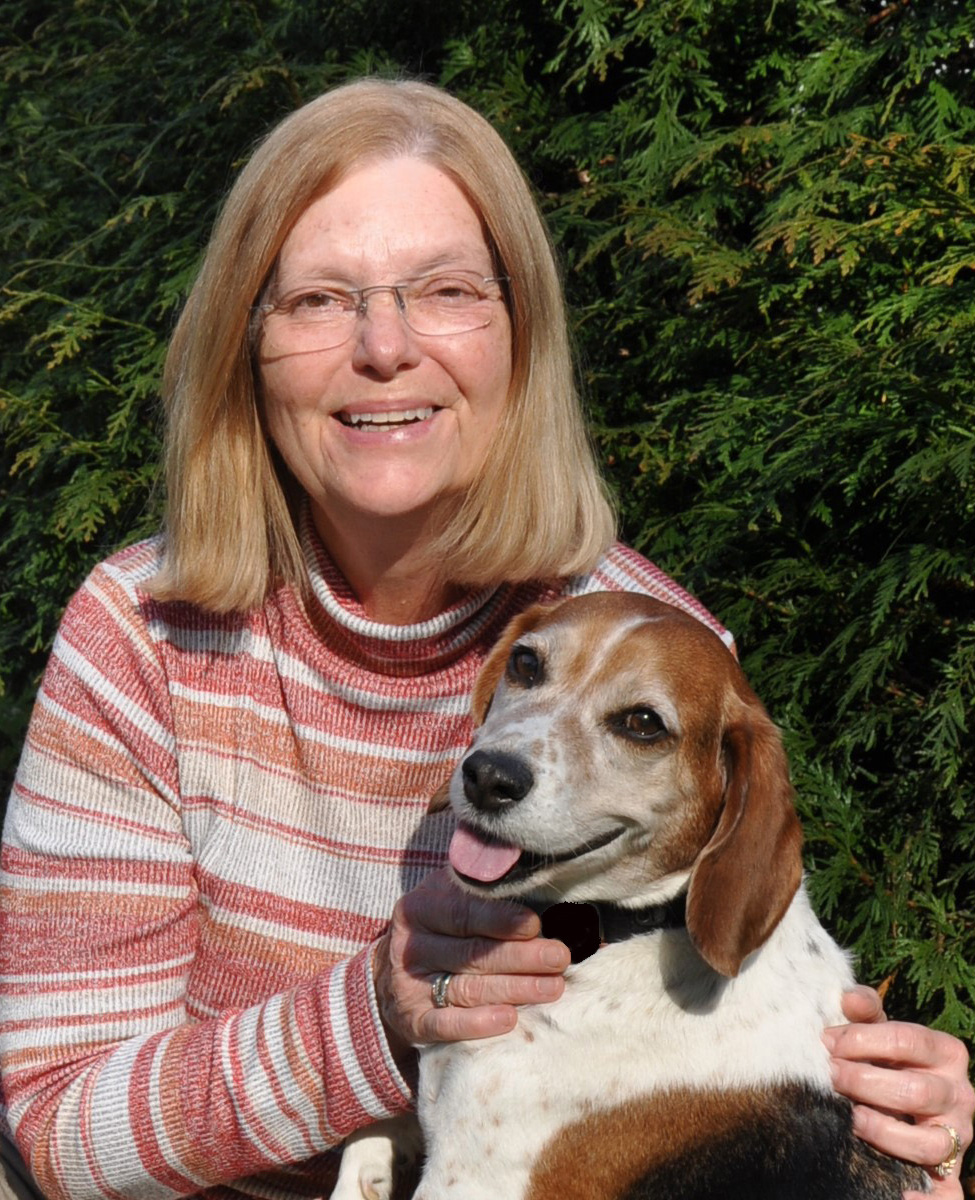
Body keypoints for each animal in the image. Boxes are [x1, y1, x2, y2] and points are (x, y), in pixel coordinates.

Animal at [331, 595, 926, 1195]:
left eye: (643, 724)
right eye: (525, 663)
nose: (487, 776)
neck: (615, 932)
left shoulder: (469, 1178)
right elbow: (366, 1143)